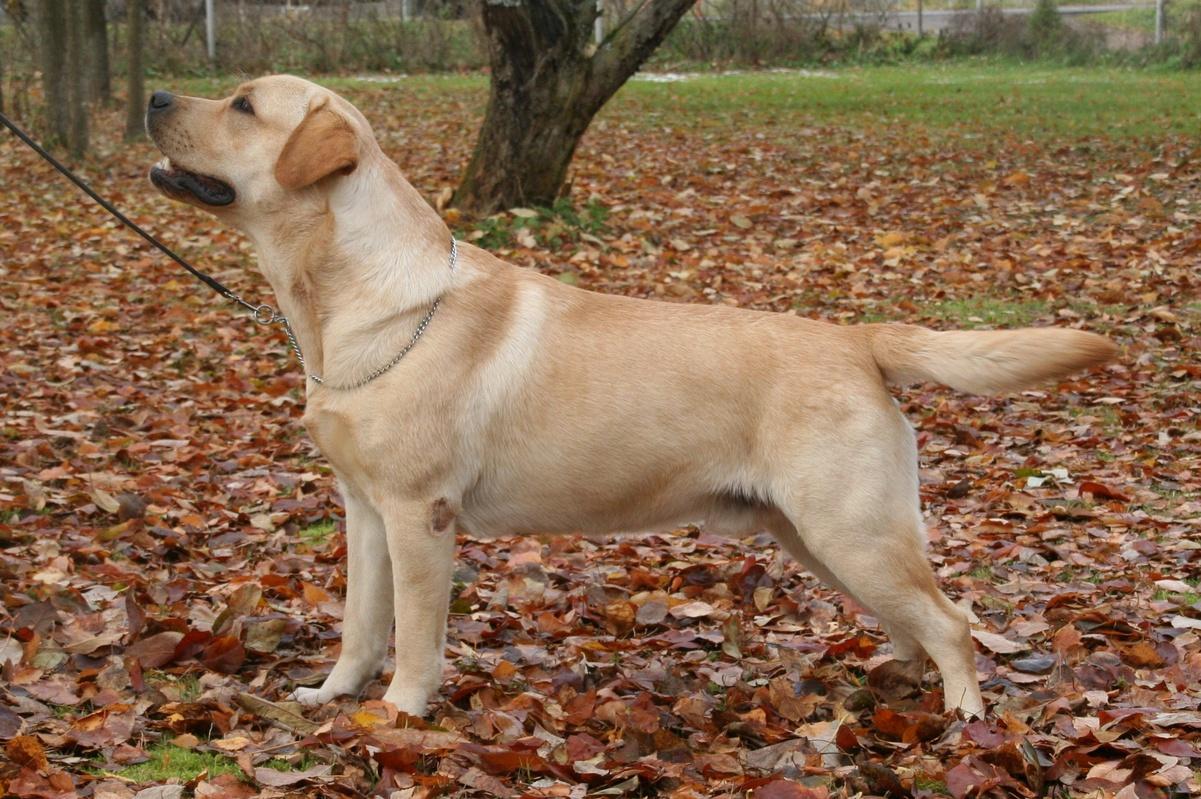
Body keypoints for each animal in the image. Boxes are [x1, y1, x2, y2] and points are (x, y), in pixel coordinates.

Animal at [146, 75, 1115, 719]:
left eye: (242, 106)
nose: (153, 96)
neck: (349, 302)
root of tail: (855, 338)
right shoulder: (363, 509)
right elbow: (359, 622)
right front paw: (330, 694)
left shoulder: (421, 515)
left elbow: (415, 633)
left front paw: (400, 714)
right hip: (820, 536)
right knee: (915, 628)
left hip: (853, 529)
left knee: (952, 622)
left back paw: (961, 717)